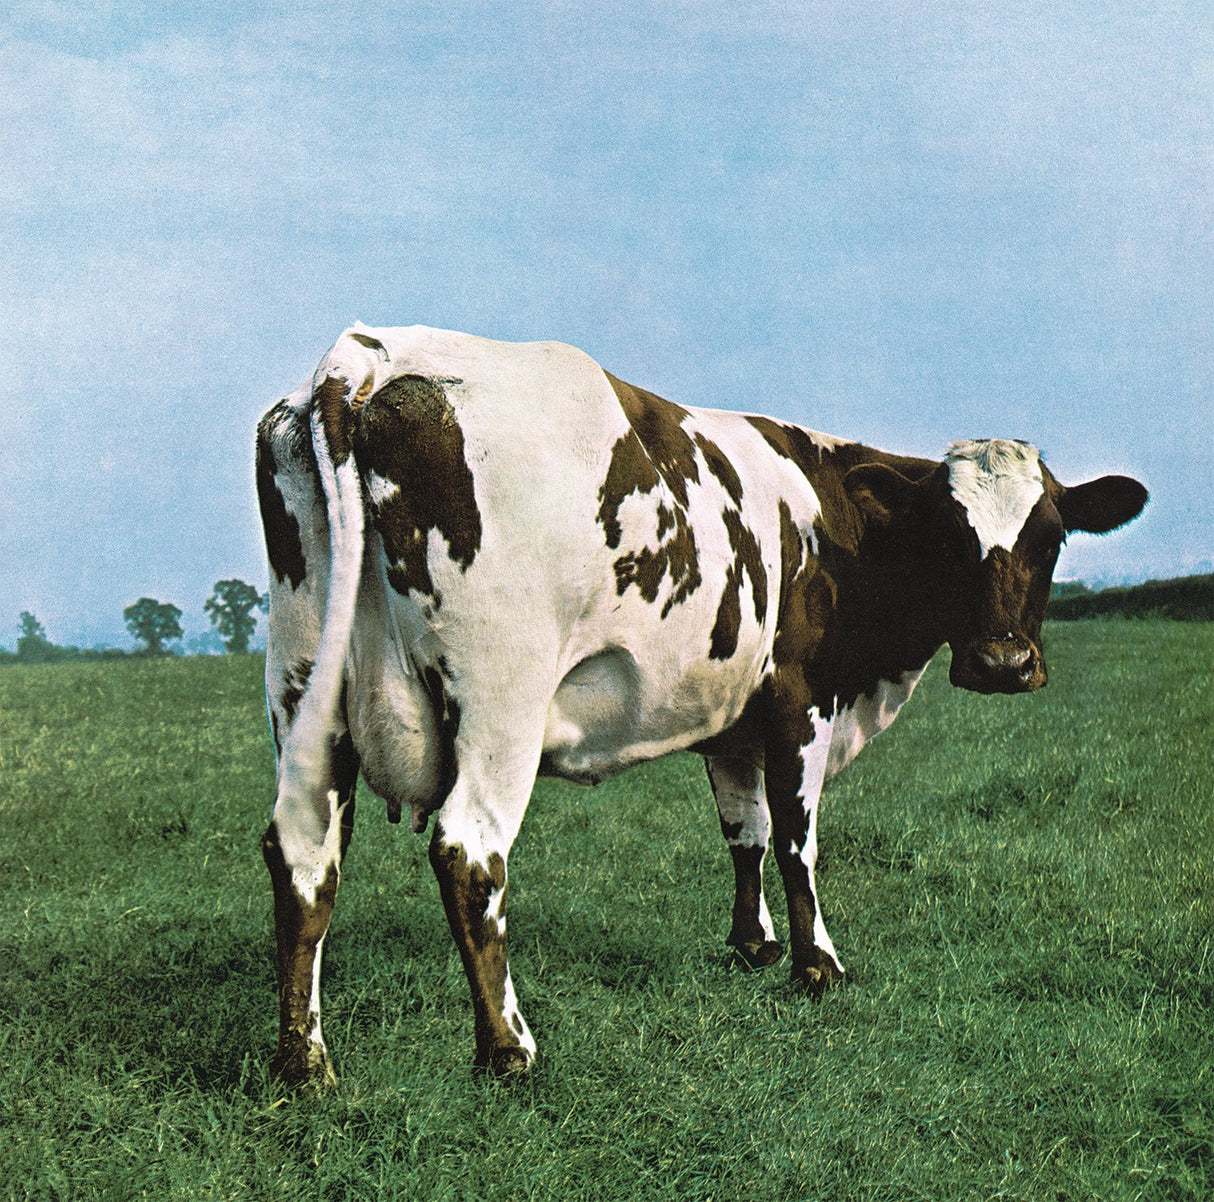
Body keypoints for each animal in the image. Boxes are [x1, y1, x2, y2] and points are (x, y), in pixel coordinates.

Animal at [256, 323, 1147, 1088]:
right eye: (949, 536)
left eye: (1052, 537)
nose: (1003, 663)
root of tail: (372, 355)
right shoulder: (799, 703)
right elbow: (795, 839)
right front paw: (817, 964)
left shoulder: (731, 719)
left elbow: (743, 832)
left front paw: (753, 945)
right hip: (499, 699)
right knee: (468, 853)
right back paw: (508, 1048)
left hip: (302, 682)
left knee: (302, 850)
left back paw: (304, 1062)